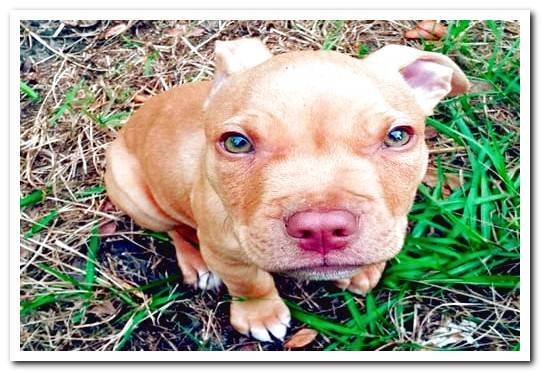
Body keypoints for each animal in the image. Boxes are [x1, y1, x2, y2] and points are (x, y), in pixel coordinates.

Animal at [105, 38, 468, 342]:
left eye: (397, 136)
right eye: (237, 143)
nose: (322, 228)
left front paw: (364, 271)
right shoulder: (226, 252)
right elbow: (251, 283)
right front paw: (260, 315)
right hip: (135, 196)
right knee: (176, 230)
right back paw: (197, 263)